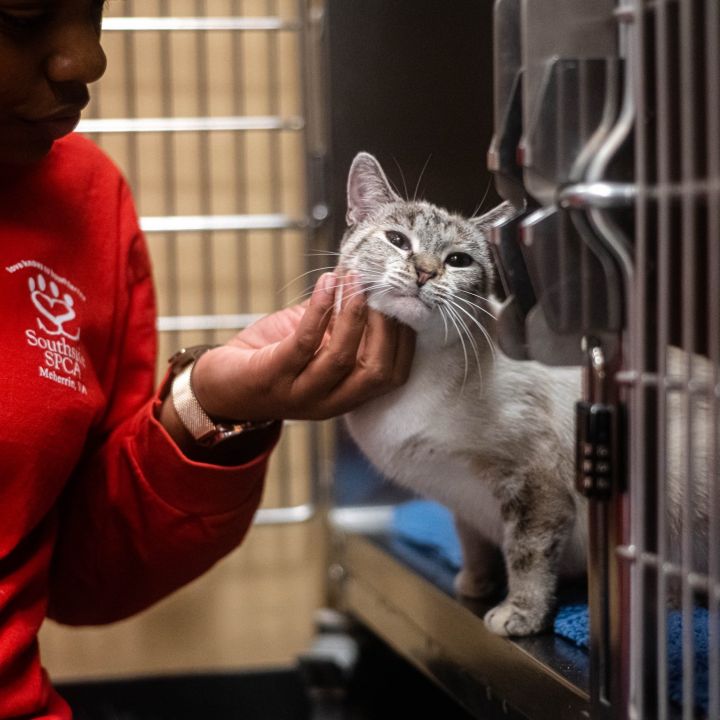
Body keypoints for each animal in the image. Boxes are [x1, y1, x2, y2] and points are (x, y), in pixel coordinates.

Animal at [334, 152, 588, 636]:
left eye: (457, 260)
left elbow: (527, 555)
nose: (425, 271)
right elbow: (472, 541)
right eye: (398, 240)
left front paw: (519, 615)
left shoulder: (537, 483)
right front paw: (474, 583)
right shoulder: (461, 496)